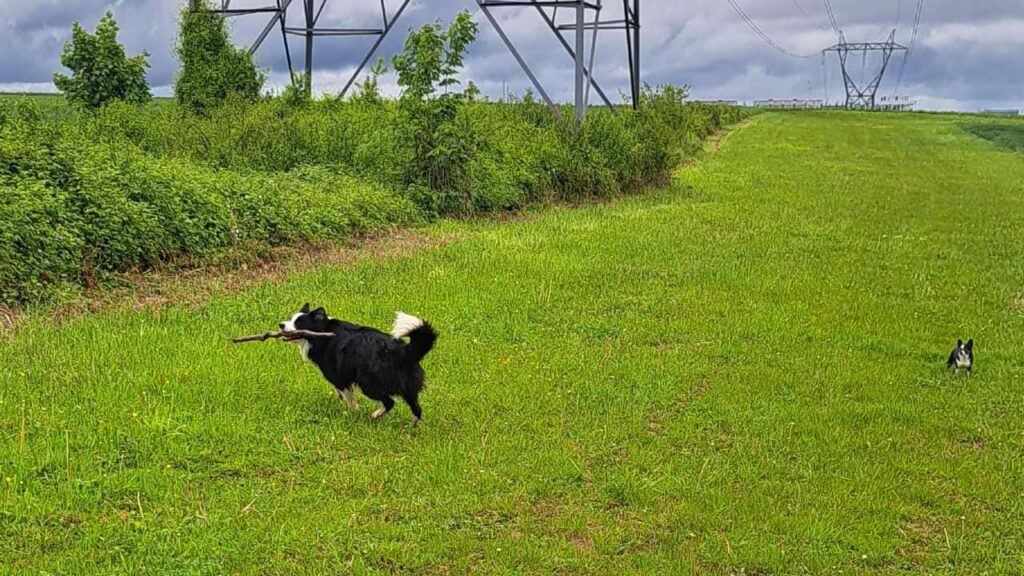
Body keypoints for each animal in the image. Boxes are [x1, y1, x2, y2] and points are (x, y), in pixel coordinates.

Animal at [280, 305, 436, 422]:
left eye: (298, 323)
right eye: (291, 319)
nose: (281, 325)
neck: (323, 332)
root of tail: (405, 351)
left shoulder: (338, 375)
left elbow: (348, 396)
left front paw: (352, 413)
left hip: (369, 383)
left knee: (389, 402)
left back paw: (375, 415)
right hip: (408, 386)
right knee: (416, 408)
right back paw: (413, 427)